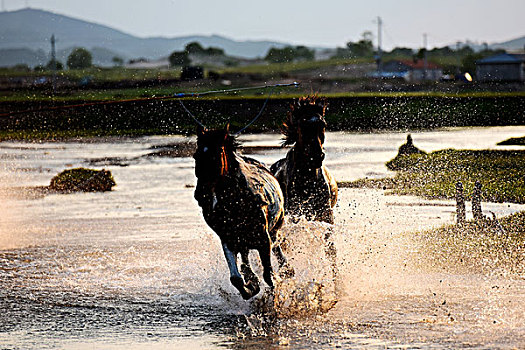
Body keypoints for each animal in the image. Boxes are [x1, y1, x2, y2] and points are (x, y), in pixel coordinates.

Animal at [193, 124, 290, 300]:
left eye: (215, 156)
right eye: (196, 155)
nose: (200, 194)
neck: (237, 203)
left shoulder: (263, 239)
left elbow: (269, 275)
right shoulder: (228, 240)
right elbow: (236, 278)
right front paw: (251, 287)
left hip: (274, 230)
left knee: (276, 248)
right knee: (245, 260)